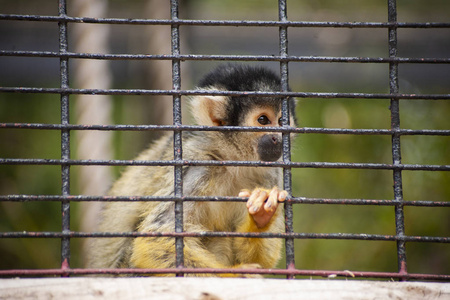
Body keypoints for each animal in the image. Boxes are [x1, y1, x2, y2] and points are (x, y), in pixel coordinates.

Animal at [88, 64, 298, 278]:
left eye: (282, 121)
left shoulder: (269, 174)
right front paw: (234, 275)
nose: (278, 138)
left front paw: (262, 213)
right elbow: (156, 237)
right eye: (263, 120)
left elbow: (260, 261)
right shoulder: (196, 169)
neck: (233, 162)